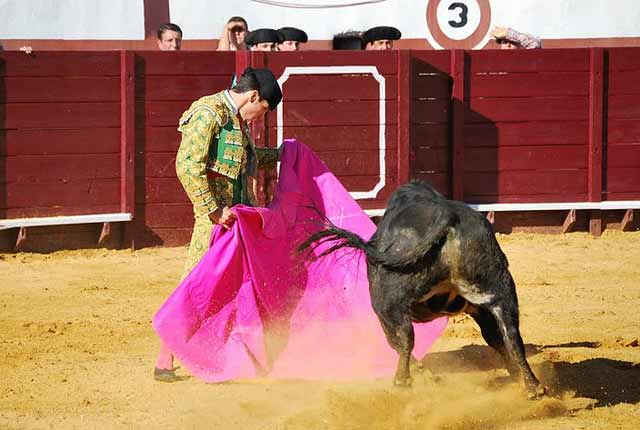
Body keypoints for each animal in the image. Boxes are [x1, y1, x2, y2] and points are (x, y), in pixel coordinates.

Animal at [300, 181, 544, 400]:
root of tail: (447, 217)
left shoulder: (384, 315)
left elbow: (396, 343)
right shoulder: (480, 309)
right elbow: (496, 339)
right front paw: (514, 374)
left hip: (387, 303)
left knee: (405, 337)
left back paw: (402, 382)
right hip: (498, 287)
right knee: (512, 335)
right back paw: (533, 387)